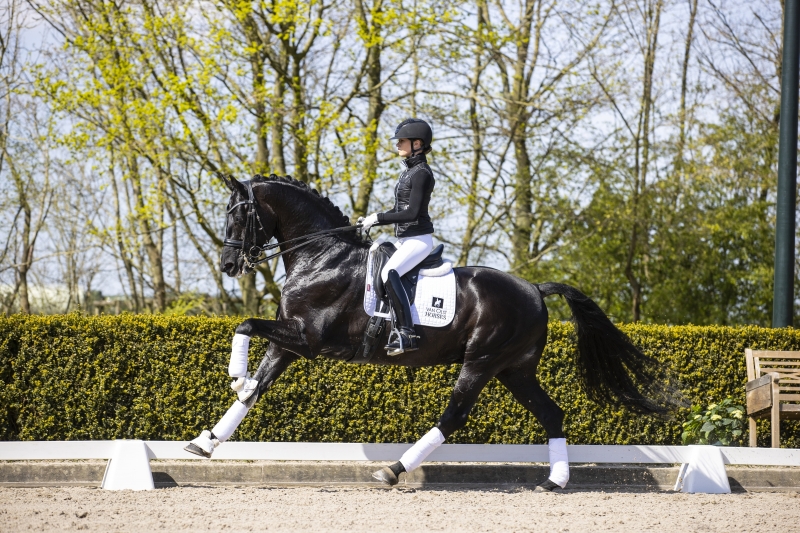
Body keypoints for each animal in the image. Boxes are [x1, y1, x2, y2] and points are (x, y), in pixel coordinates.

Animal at [189, 172, 676, 488]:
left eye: (239, 216)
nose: (229, 265)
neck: (321, 256)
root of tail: (534, 289)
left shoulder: (307, 340)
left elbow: (245, 325)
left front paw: (233, 376)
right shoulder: (289, 340)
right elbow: (254, 390)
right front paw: (204, 441)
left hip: (481, 361)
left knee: (454, 415)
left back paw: (393, 470)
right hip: (514, 369)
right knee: (551, 414)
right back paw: (554, 482)